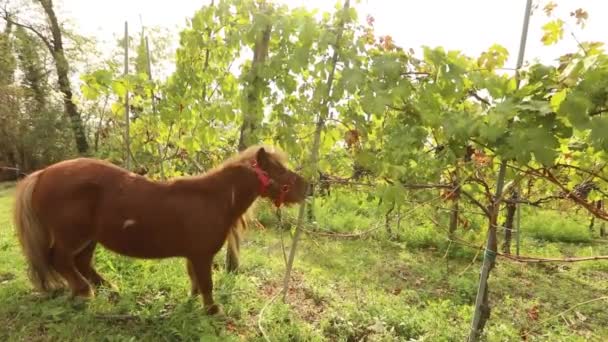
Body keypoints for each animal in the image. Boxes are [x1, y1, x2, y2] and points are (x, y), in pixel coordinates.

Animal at [13, 146, 308, 314]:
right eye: (279, 170)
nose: (307, 187)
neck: (213, 198)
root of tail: (40, 174)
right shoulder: (202, 255)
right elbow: (207, 282)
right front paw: (213, 310)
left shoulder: (193, 255)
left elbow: (195, 280)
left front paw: (193, 302)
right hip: (73, 236)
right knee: (60, 260)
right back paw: (84, 291)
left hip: (89, 239)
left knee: (81, 263)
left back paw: (109, 289)